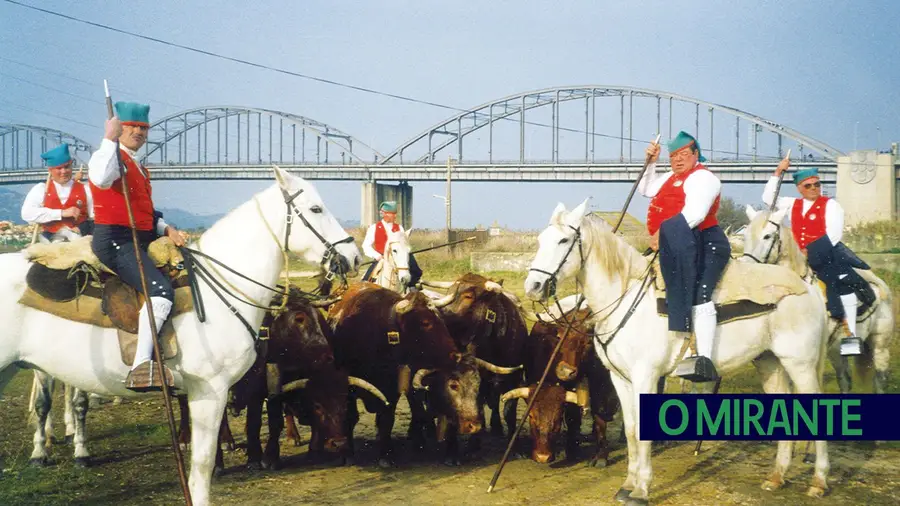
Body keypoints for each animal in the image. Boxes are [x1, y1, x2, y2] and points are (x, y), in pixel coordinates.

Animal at [524, 200, 832, 504]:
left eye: (564, 240)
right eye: (540, 240)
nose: (533, 287)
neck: (627, 300)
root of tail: (807, 287)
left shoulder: (646, 377)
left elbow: (642, 431)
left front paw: (641, 490)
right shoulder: (620, 379)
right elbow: (631, 430)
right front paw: (627, 484)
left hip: (800, 363)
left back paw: (818, 481)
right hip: (770, 363)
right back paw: (777, 477)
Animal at [740, 204, 896, 394]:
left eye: (767, 236)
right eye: (745, 236)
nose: (747, 271)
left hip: (880, 345)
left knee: (879, 379)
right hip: (837, 350)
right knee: (845, 379)